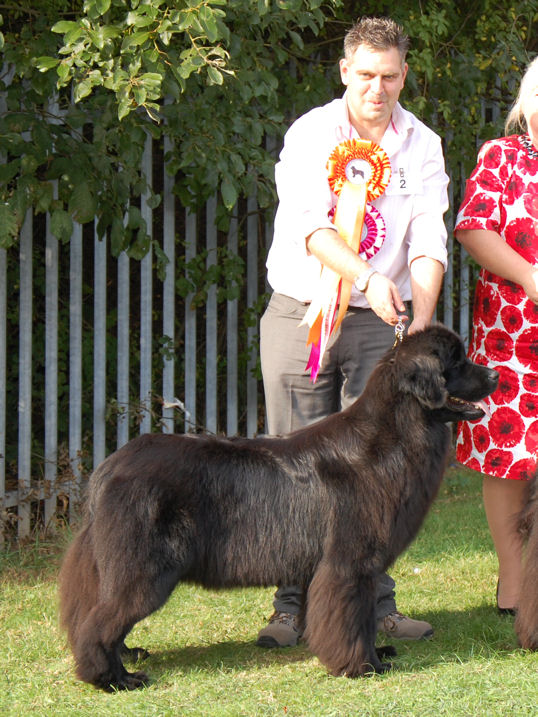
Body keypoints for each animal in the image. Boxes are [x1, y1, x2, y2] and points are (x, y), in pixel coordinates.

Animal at [57, 324, 494, 688]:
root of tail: (111, 466)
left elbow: (361, 618)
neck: (392, 437)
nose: (495, 376)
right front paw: (363, 666)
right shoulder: (349, 564)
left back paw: (127, 655)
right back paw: (114, 678)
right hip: (145, 568)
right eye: (457, 363)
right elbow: (351, 619)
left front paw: (374, 654)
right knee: (99, 623)